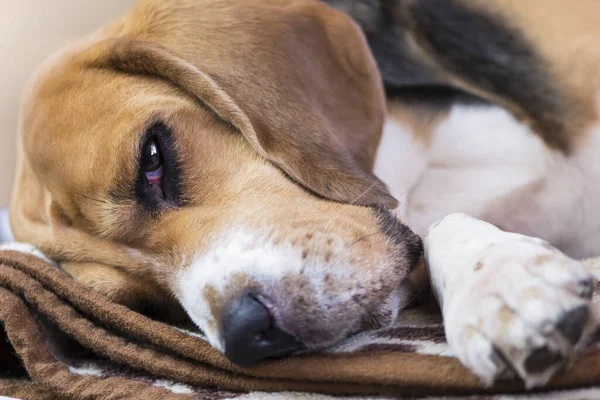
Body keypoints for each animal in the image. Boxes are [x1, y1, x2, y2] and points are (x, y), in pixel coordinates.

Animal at [5, 0, 600, 390]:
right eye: (149, 307)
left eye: (152, 159)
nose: (249, 335)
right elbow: (436, 226)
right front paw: (497, 280)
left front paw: (499, 278)